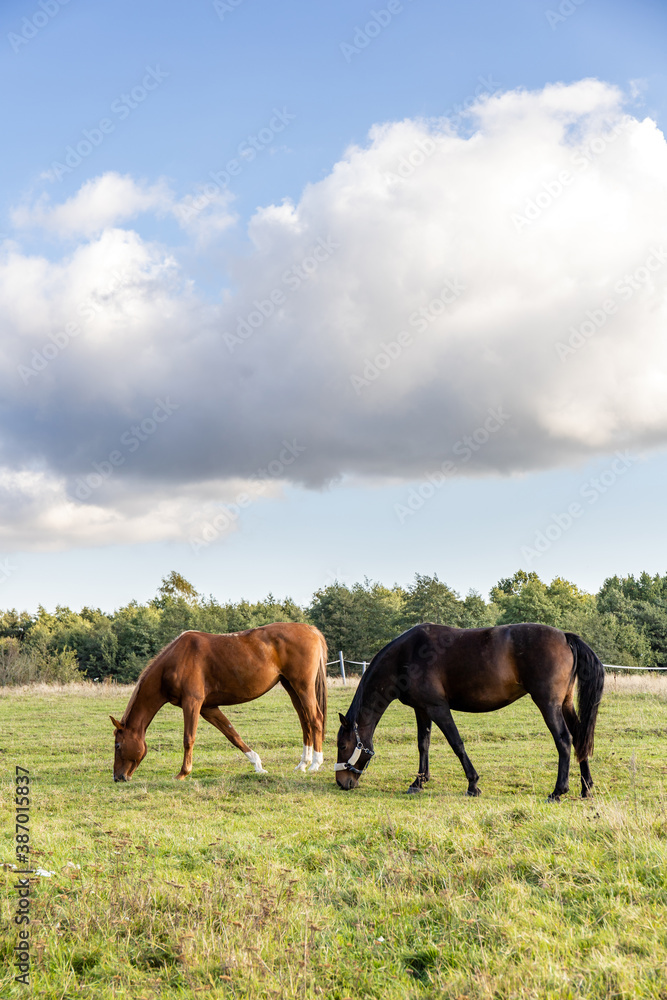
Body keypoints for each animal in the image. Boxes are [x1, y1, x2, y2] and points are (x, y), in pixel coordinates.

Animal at [111, 622, 327, 782]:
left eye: (118, 746)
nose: (118, 777)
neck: (175, 661)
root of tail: (311, 629)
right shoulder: (208, 708)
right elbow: (232, 735)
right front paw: (257, 765)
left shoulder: (192, 703)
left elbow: (188, 738)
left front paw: (183, 773)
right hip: (291, 687)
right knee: (305, 722)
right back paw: (303, 763)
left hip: (303, 687)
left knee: (315, 719)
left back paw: (315, 763)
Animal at [335, 622, 604, 801]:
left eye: (343, 745)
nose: (342, 783)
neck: (407, 655)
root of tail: (565, 637)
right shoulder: (422, 710)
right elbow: (423, 744)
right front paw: (419, 781)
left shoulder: (438, 708)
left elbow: (456, 743)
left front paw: (473, 784)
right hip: (565, 704)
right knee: (579, 737)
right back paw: (586, 788)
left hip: (548, 704)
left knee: (564, 740)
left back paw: (558, 791)